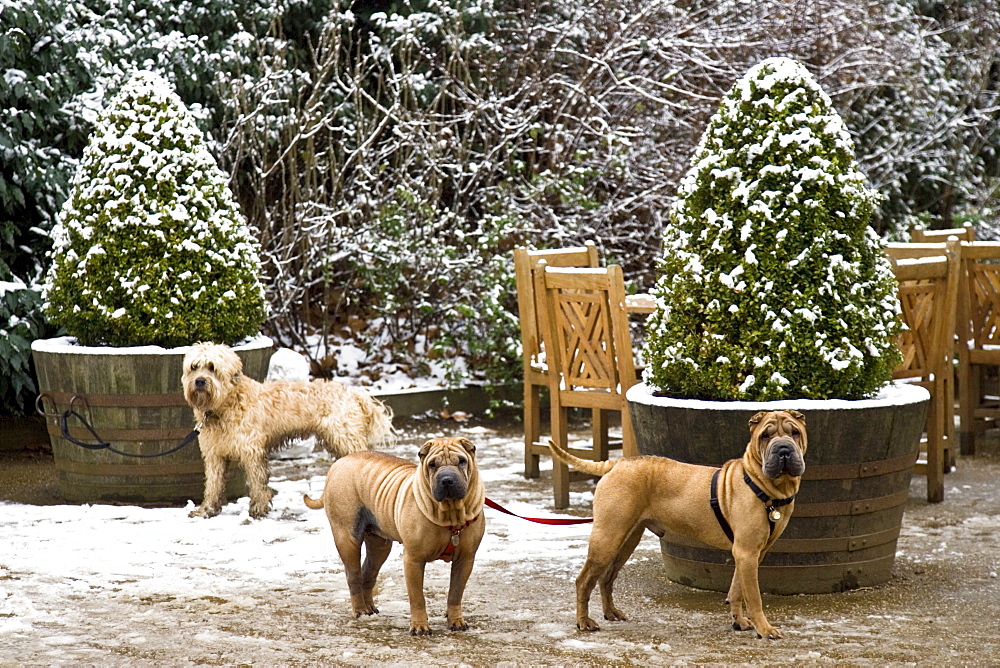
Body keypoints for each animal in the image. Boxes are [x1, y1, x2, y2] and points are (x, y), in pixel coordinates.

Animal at [184, 342, 394, 520]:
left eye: (212, 367)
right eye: (194, 367)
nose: (200, 381)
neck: (225, 405)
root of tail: (353, 393)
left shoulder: (252, 452)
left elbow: (257, 482)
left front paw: (258, 509)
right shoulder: (214, 455)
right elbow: (213, 485)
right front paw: (207, 510)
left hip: (346, 439)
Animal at [304, 436, 484, 636]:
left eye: (462, 461)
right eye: (432, 465)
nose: (447, 480)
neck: (451, 516)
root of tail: (338, 463)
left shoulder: (465, 560)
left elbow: (455, 593)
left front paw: (456, 621)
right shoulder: (413, 560)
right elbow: (417, 597)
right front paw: (420, 626)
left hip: (379, 545)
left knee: (368, 574)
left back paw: (370, 608)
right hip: (347, 537)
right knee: (354, 576)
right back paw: (360, 611)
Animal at [548, 410, 804, 640]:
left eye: (795, 432)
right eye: (765, 436)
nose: (783, 449)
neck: (765, 486)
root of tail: (617, 463)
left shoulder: (751, 554)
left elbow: (737, 589)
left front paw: (739, 621)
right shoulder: (747, 552)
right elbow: (754, 596)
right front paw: (765, 629)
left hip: (626, 540)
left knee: (606, 578)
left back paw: (611, 613)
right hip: (607, 538)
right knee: (583, 581)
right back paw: (584, 622)